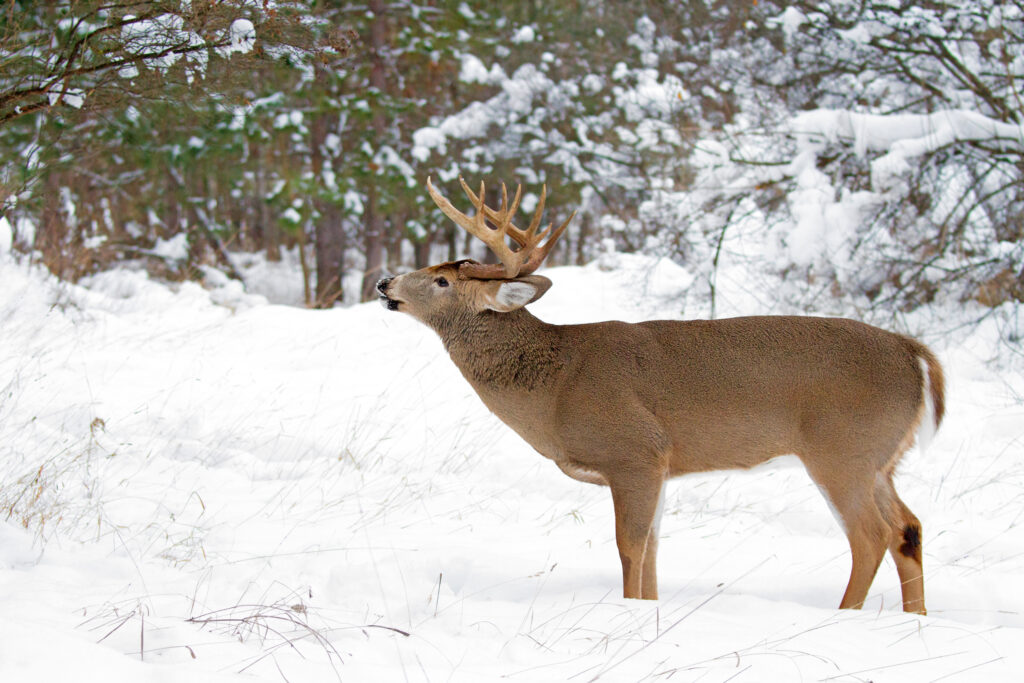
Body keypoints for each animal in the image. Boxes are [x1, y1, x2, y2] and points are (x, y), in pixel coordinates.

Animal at [376, 176, 942, 614]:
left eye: (443, 281)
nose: (384, 282)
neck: (555, 386)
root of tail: (915, 354)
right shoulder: (660, 465)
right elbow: (652, 549)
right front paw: (647, 610)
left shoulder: (635, 451)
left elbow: (630, 547)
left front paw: (630, 614)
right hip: (881, 459)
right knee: (909, 527)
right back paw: (915, 620)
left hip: (842, 450)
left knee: (871, 536)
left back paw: (845, 615)